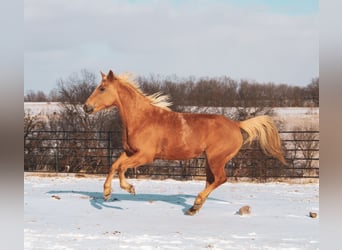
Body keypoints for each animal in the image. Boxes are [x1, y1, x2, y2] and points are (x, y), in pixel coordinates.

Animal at [83, 70, 286, 215]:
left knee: (220, 178)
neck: (142, 119)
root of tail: (237, 125)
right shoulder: (130, 152)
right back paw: (193, 208)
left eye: (102, 88)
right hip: (209, 161)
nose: (86, 107)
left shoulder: (146, 155)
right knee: (212, 180)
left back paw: (195, 204)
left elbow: (121, 168)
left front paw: (129, 189)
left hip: (216, 159)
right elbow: (113, 166)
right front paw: (106, 193)